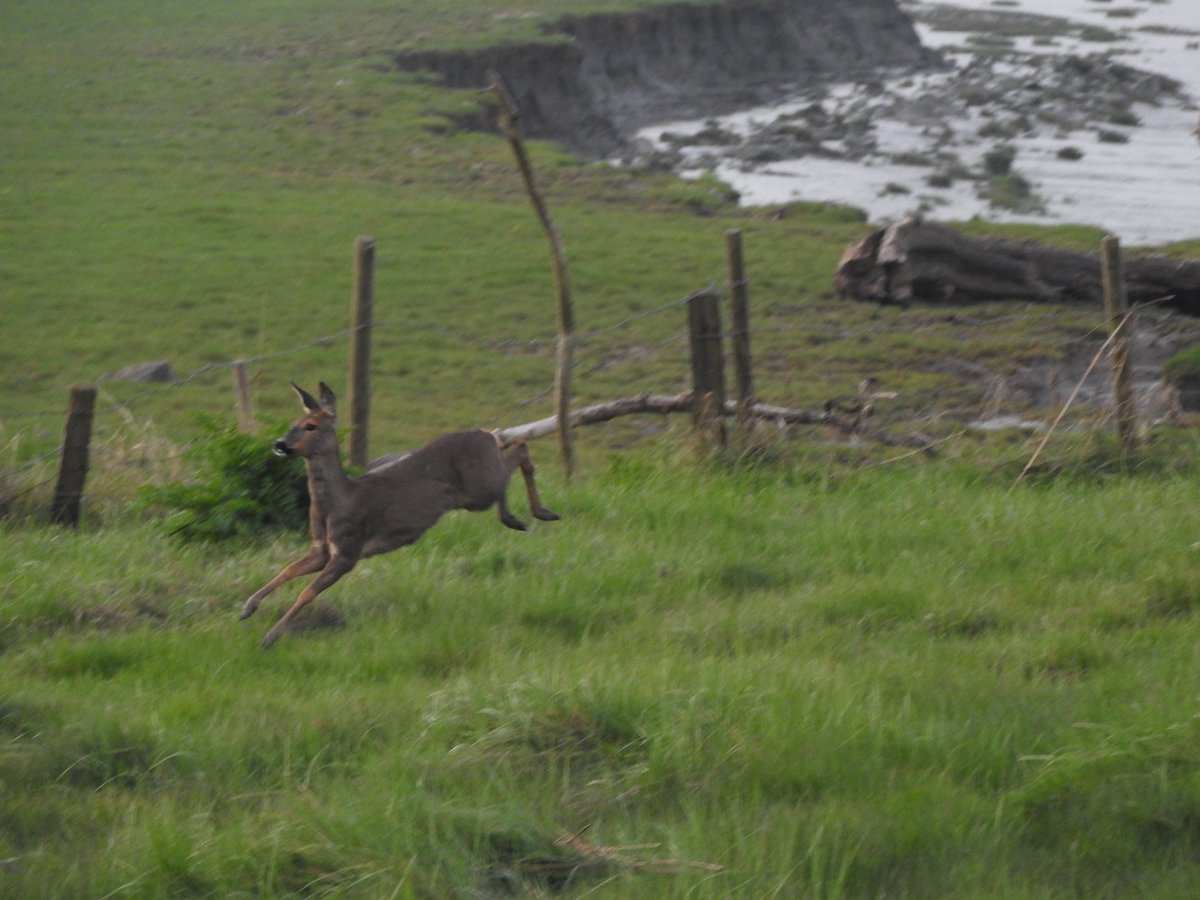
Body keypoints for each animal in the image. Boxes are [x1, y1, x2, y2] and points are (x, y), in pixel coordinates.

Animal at [243, 381, 566, 648]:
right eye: (293, 423)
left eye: (310, 426)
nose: (279, 444)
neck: (338, 502)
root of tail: (485, 433)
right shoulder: (321, 548)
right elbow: (287, 570)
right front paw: (248, 607)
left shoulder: (348, 549)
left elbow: (307, 592)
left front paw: (270, 637)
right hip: (480, 485)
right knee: (515, 448)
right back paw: (525, 515)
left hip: (479, 489)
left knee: (518, 451)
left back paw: (529, 514)